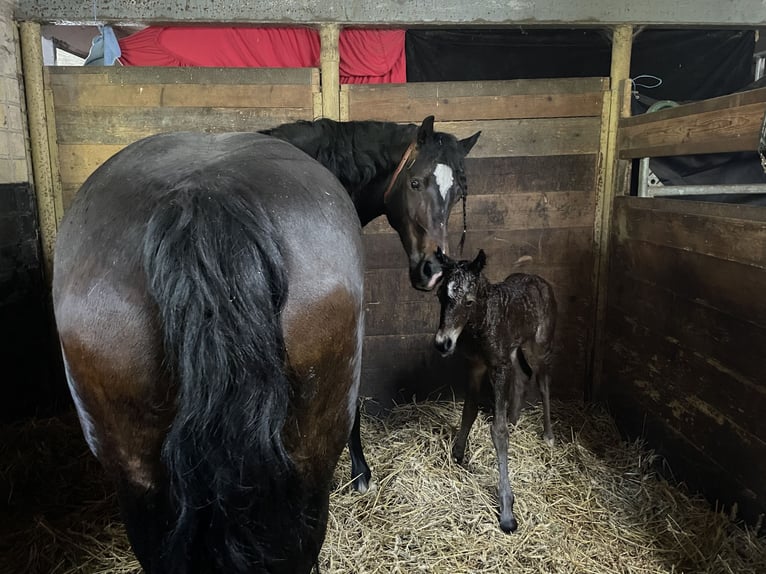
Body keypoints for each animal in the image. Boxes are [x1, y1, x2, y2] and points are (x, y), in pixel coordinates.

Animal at [436, 252, 556, 536]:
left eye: (468, 301)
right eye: (440, 296)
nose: (443, 343)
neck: (481, 323)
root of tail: (542, 282)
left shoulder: (497, 368)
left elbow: (498, 432)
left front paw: (507, 511)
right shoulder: (476, 366)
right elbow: (469, 410)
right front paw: (458, 454)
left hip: (540, 346)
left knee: (543, 382)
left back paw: (548, 435)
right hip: (512, 351)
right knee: (522, 376)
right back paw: (514, 419)